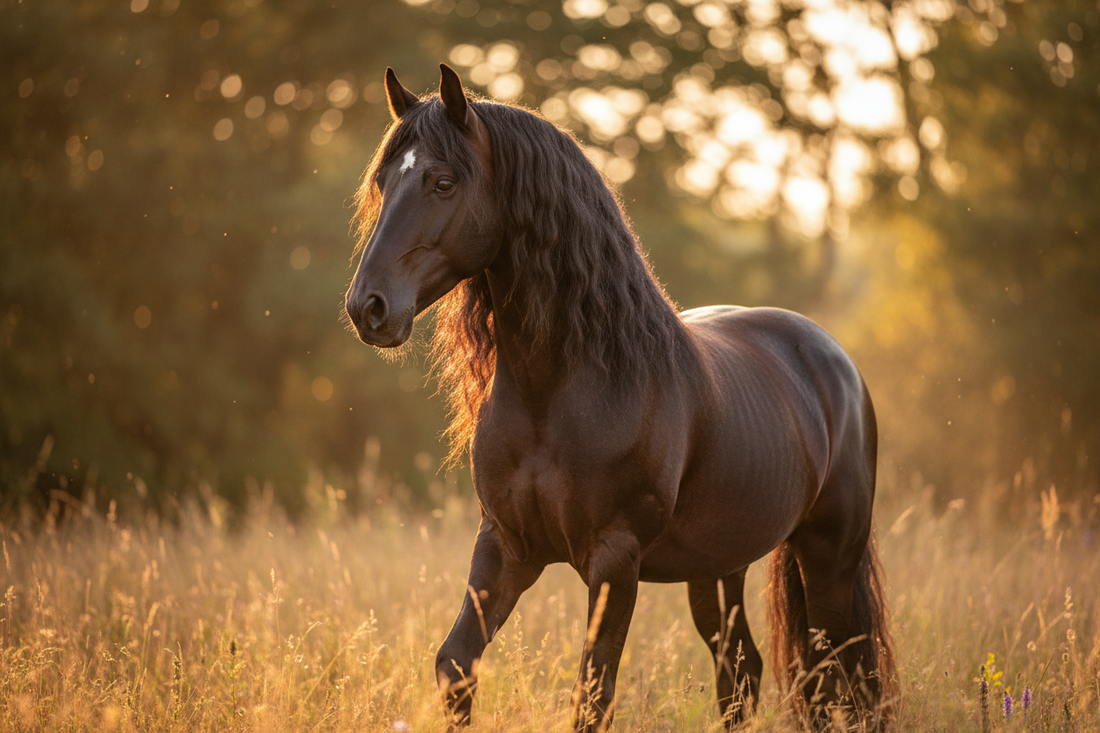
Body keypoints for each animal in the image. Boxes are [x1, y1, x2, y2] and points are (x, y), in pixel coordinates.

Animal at [345, 64, 896, 731]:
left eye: (442, 182)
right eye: (382, 182)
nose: (368, 308)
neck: (560, 392)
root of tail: (833, 359)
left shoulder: (613, 560)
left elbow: (593, 692)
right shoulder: (505, 546)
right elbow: (456, 666)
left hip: (829, 559)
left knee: (840, 679)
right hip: (719, 570)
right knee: (743, 671)